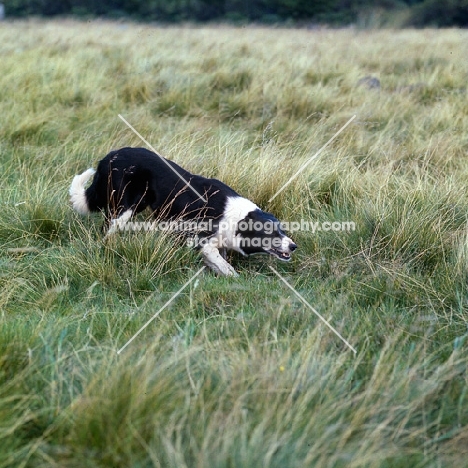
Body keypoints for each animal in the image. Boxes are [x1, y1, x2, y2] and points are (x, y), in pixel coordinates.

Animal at [69, 148, 296, 276]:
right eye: (270, 233)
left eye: (282, 231)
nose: (294, 246)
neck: (235, 217)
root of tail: (109, 157)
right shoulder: (200, 240)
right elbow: (225, 266)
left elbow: (219, 262)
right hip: (123, 209)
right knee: (106, 231)